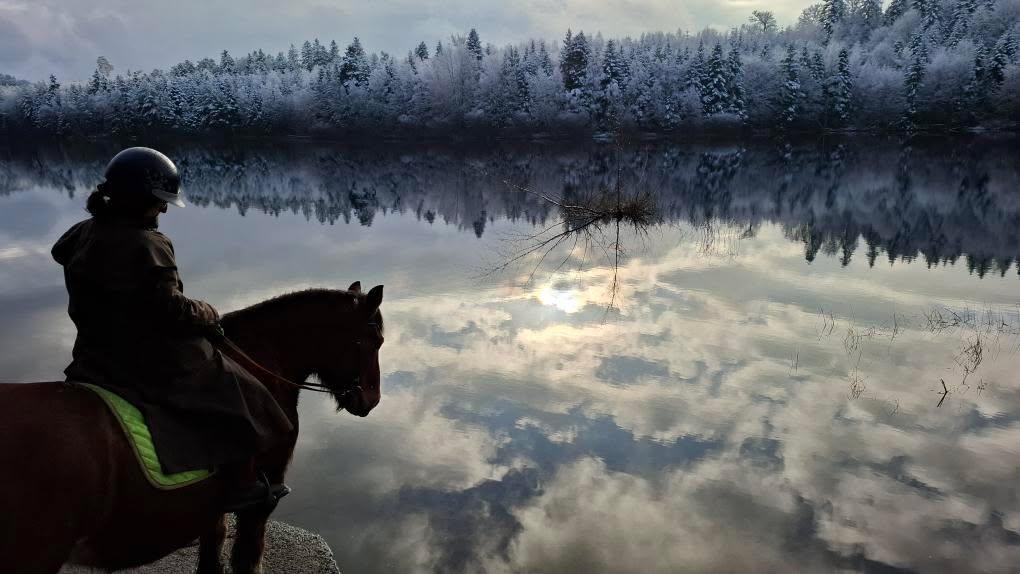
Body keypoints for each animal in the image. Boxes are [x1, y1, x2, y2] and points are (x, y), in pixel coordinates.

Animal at [0, 282, 384, 574]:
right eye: (374, 340)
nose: (372, 400)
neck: (261, 364)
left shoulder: (212, 506)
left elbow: (212, 548)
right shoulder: (264, 494)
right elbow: (247, 556)